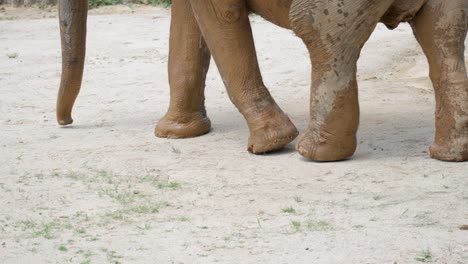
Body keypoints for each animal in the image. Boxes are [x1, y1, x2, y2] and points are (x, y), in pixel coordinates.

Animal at [56, 0, 466, 162]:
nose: (66, 122)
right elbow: (188, 26)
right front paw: (176, 134)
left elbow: (217, 19)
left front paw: (270, 145)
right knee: (444, 43)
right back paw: (449, 155)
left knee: (322, 37)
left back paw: (312, 154)